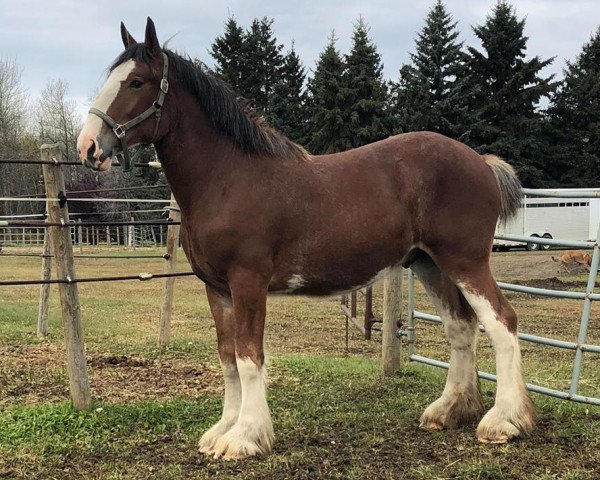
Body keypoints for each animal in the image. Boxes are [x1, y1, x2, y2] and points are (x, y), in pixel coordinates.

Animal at [78, 17, 536, 462]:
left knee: (503, 323)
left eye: (136, 82)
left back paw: (504, 421)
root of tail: (481, 162)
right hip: (429, 263)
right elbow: (227, 357)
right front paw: (223, 429)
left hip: (465, 261)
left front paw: (246, 436)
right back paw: (450, 410)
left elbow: (248, 356)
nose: (88, 147)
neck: (227, 178)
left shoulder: (248, 281)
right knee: (462, 328)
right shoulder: (217, 288)